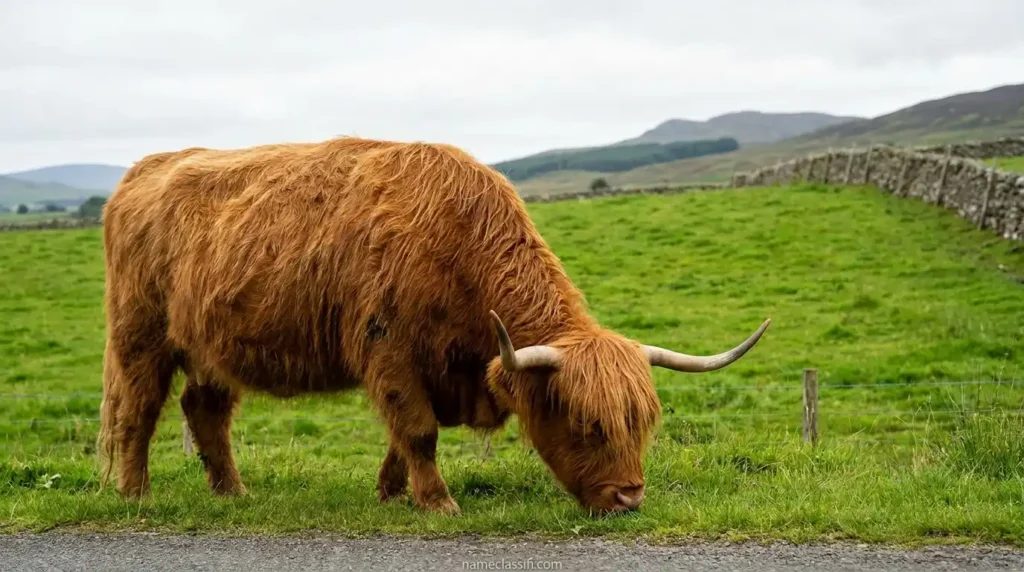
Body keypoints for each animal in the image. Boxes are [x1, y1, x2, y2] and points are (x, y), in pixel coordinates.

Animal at [96, 136, 770, 516]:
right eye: (585, 422)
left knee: (204, 410)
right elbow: (418, 431)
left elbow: (401, 437)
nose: (630, 497)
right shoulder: (389, 351)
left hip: (212, 347)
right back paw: (135, 493)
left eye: (643, 422)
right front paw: (437, 502)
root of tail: (140, 170)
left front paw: (393, 493)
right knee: (138, 411)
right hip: (141, 335)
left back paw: (232, 493)